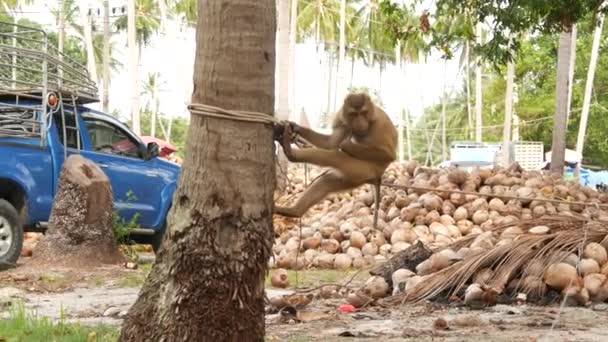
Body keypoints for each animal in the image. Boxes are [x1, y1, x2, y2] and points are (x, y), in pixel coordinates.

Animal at [276, 92, 400, 228]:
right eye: (354, 114)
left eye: (363, 113)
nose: (360, 122)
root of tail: (377, 176)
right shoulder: (341, 119)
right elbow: (330, 143)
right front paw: (296, 127)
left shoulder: (380, 123)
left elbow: (388, 155)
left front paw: (346, 145)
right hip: (355, 178)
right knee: (326, 181)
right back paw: (294, 211)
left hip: (364, 170)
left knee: (334, 156)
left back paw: (291, 154)